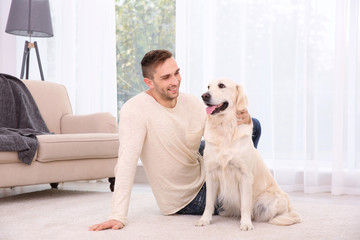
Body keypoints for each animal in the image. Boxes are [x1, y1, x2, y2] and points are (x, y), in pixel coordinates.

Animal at [195, 78, 300, 231]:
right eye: (208, 86)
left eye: (221, 85)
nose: (204, 96)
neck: (224, 128)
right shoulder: (211, 174)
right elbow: (209, 202)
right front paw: (204, 220)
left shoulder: (245, 175)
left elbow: (245, 204)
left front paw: (246, 223)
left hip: (268, 201)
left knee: (274, 215)